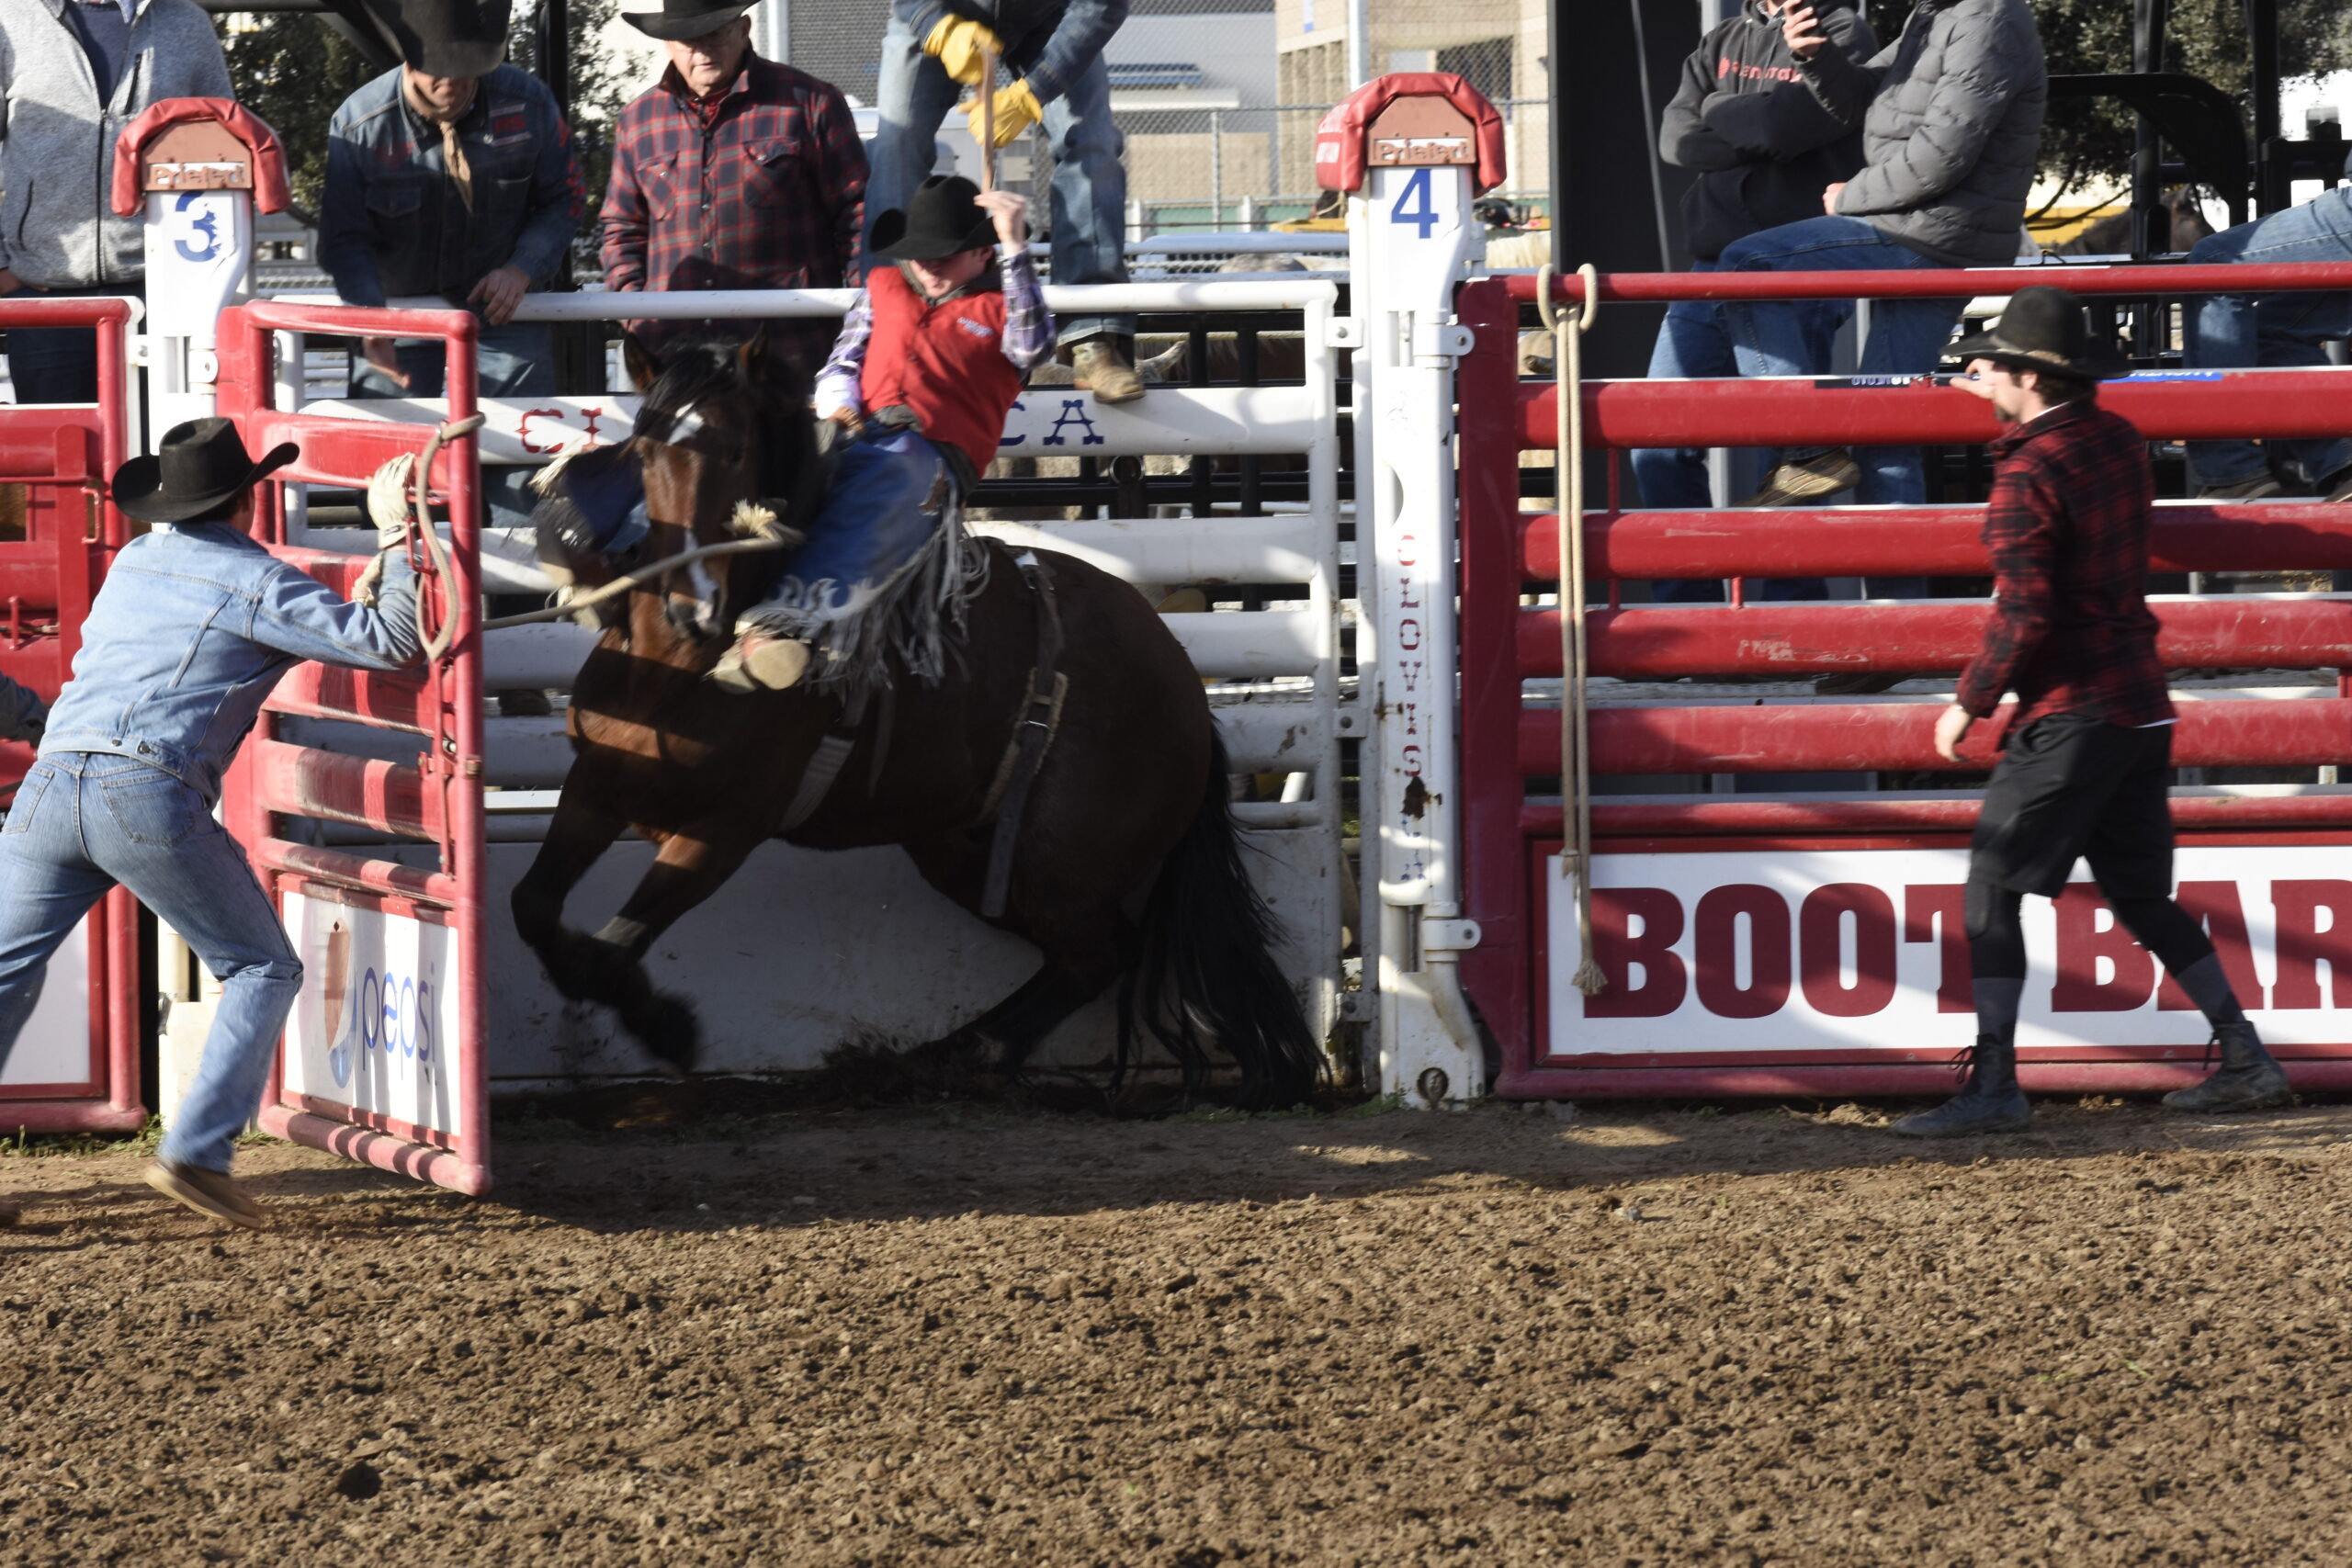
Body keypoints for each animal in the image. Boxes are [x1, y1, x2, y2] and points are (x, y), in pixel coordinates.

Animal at [513, 338, 1326, 1109]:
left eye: (737, 449)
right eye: (645, 449)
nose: (691, 606)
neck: (673, 670)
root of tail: (1181, 677)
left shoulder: (724, 830)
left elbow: (611, 948)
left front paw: (668, 1026)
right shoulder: (595, 786)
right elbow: (534, 909)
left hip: (1059, 867)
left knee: (1100, 952)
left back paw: (960, 1052)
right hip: (962, 854)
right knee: (1079, 957)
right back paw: (949, 1054)